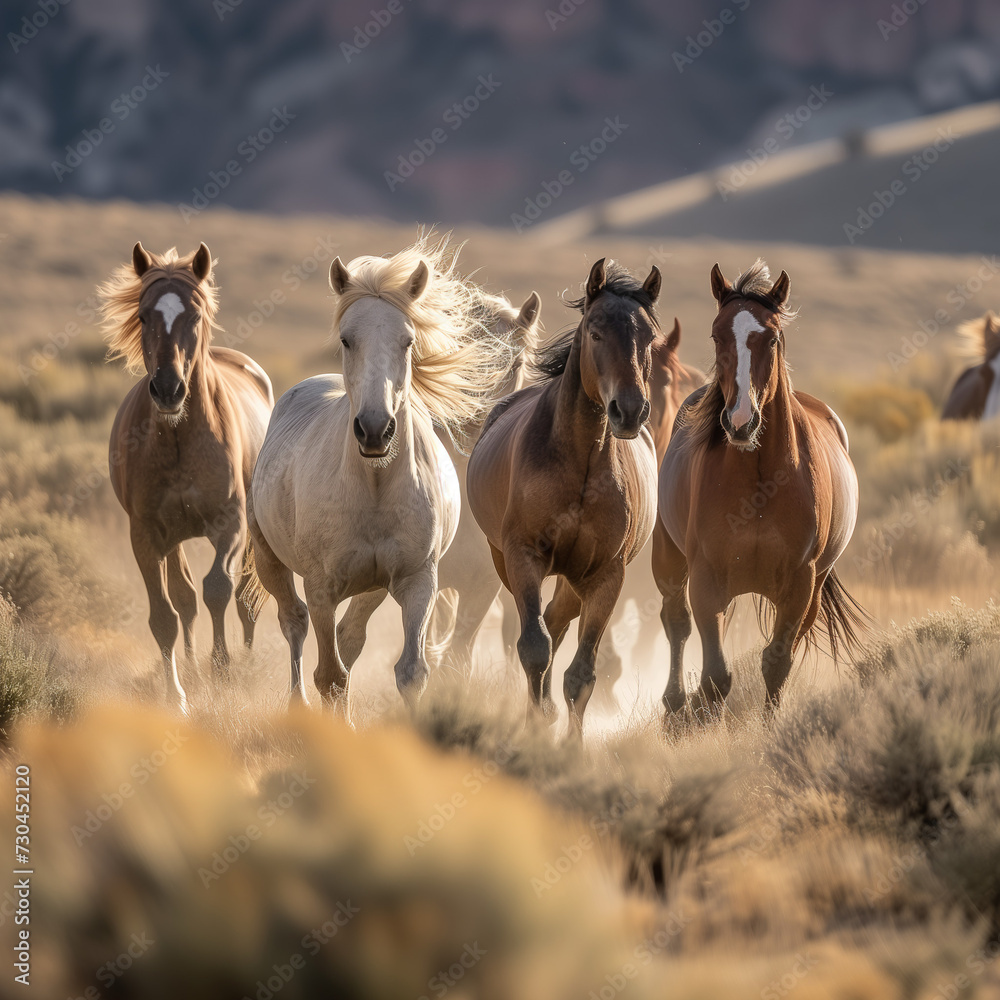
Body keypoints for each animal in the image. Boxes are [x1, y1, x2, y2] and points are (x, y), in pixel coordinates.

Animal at [99, 242, 274, 714]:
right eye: (143, 316)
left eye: (194, 316)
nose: (168, 389)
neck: (178, 435)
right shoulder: (145, 534)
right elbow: (166, 614)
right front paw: (177, 695)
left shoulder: (230, 524)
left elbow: (219, 589)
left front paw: (223, 673)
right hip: (173, 538)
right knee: (186, 599)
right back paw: (192, 671)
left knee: (244, 599)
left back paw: (244, 662)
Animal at [243, 236, 518, 711]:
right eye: (346, 339)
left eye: (408, 341)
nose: (375, 429)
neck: (372, 485)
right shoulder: (321, 587)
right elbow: (330, 675)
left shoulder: (418, 581)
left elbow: (410, 671)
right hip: (270, 560)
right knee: (293, 623)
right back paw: (297, 706)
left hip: (371, 588)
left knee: (349, 638)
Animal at [467, 258, 660, 736]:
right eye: (595, 332)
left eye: (649, 338)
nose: (630, 411)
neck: (581, 463)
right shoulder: (524, 556)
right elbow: (533, 646)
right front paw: (537, 722)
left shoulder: (605, 576)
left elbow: (582, 673)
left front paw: (570, 741)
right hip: (508, 564)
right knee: (541, 627)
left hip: (575, 579)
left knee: (556, 620)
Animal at [652, 259, 872, 720]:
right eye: (717, 335)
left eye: (771, 338)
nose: (740, 421)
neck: (759, 483)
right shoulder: (706, 581)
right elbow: (715, 676)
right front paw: (700, 719)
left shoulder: (800, 584)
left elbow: (776, 662)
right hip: (668, 560)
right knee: (676, 622)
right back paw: (676, 705)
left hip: (811, 589)